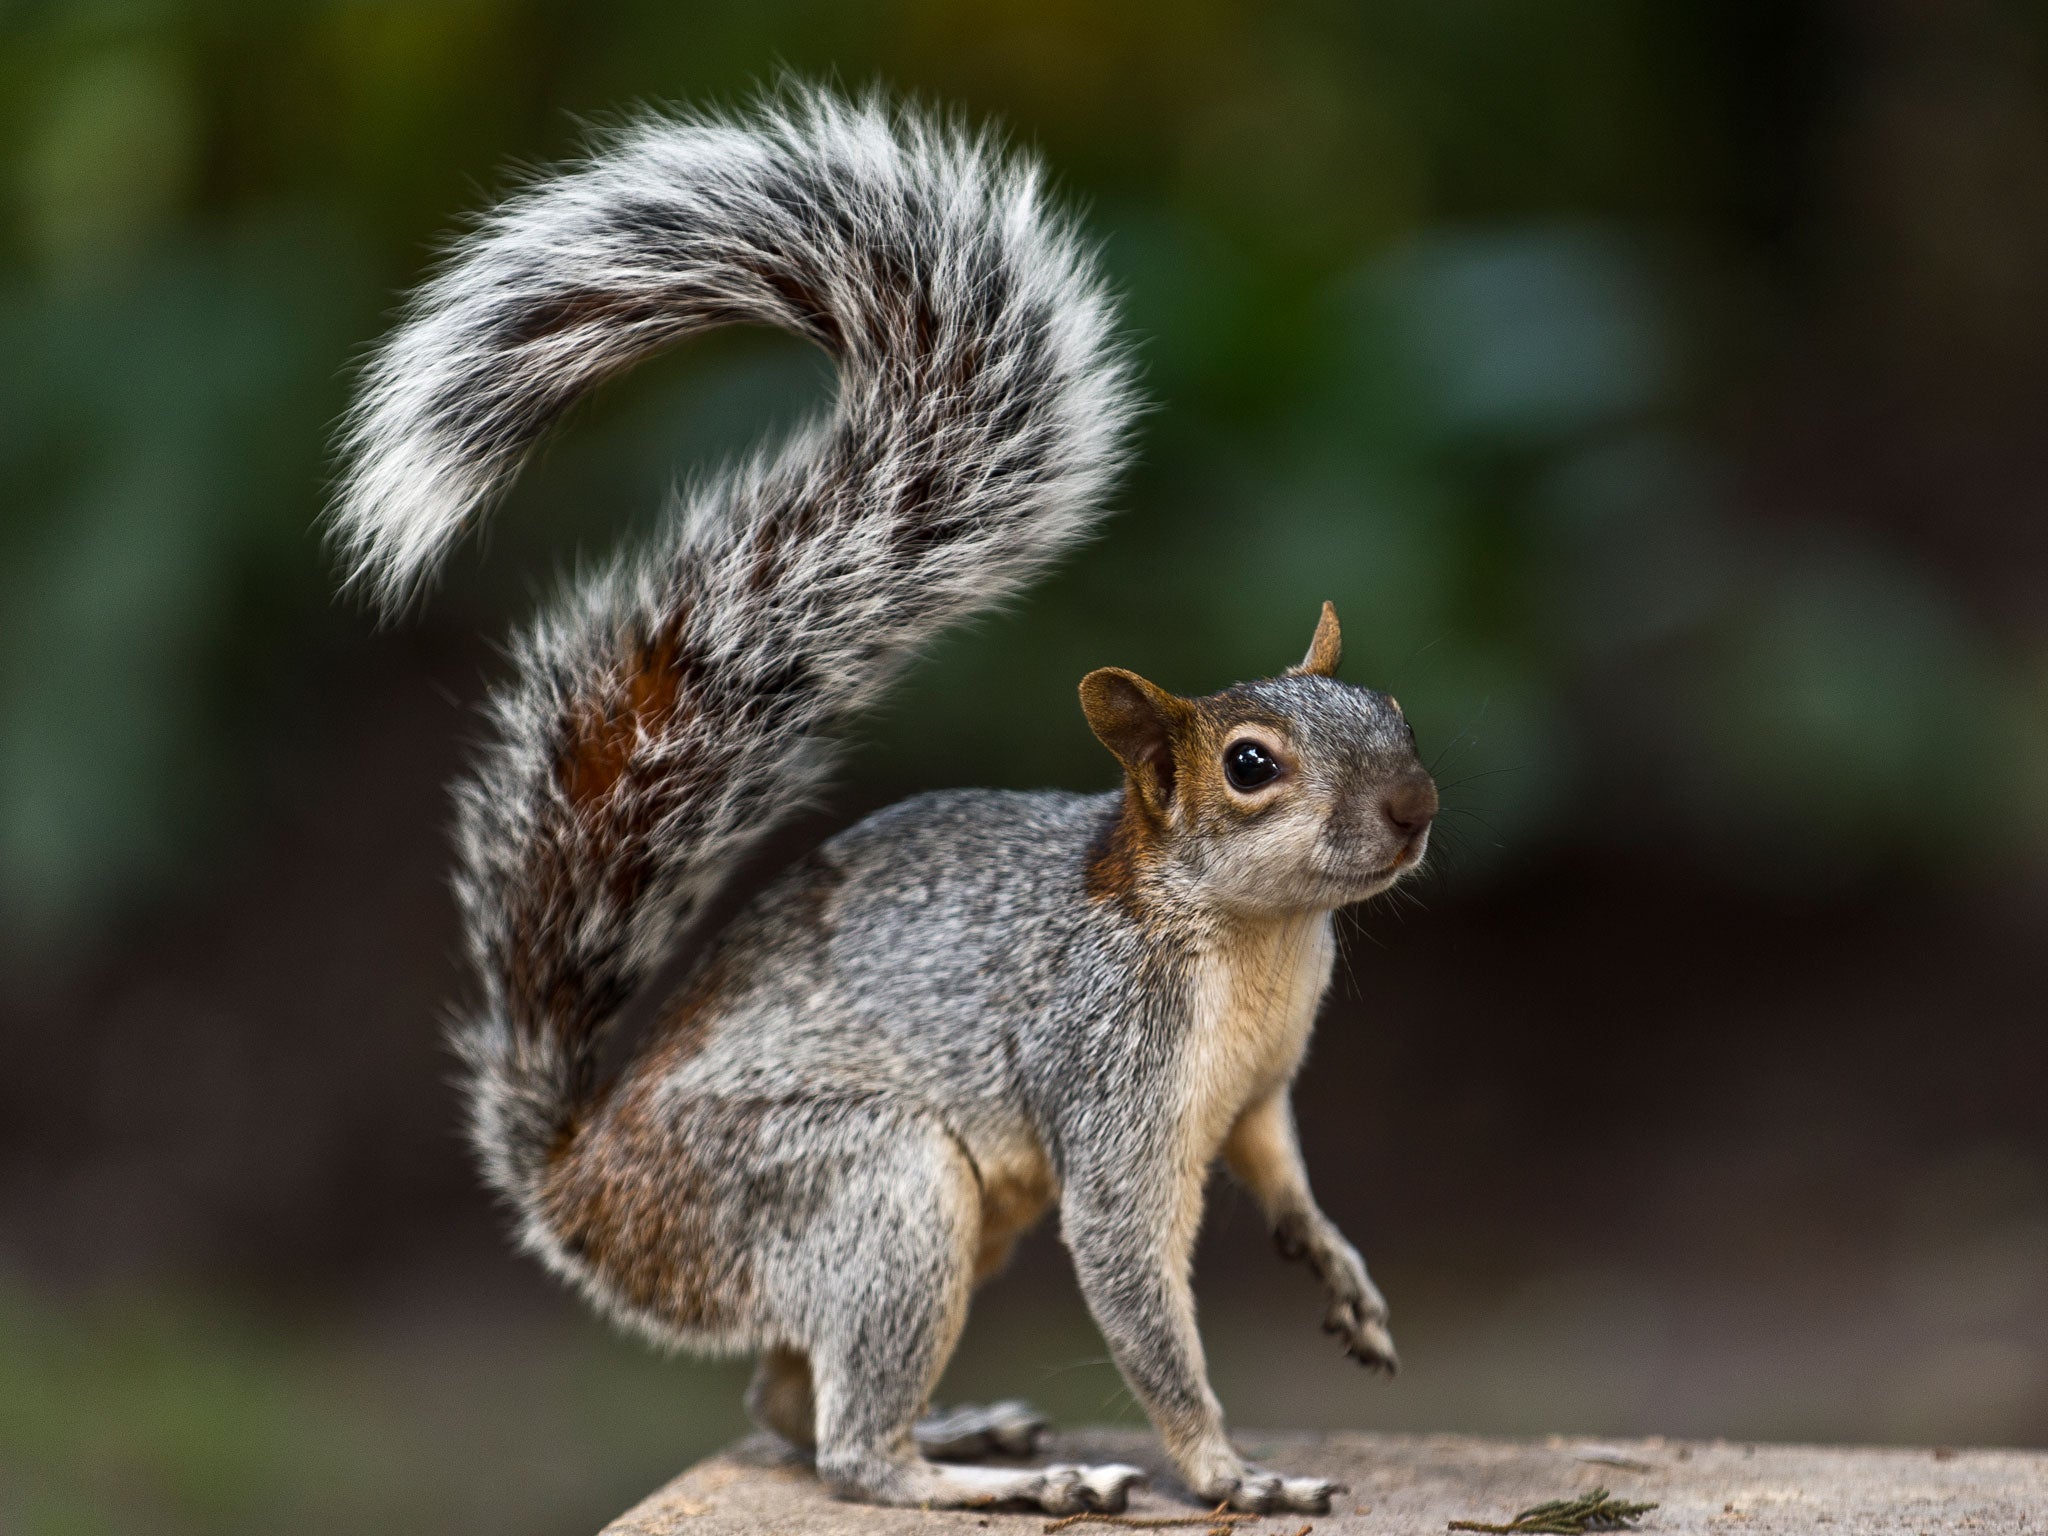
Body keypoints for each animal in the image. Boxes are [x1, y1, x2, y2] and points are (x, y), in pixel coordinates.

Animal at [323, 87, 1441, 1515]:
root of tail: (580, 1196)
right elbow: (1138, 1298)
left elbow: (1281, 1172)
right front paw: (1230, 1472)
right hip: (870, 1187)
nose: (1412, 808)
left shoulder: (1254, 1094)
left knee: (778, 1403)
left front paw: (1335, 1270)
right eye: (1250, 766)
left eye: (1391, 710)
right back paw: (992, 1480)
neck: (1252, 940)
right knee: (847, 1446)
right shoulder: (1110, 1079)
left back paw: (967, 1431)